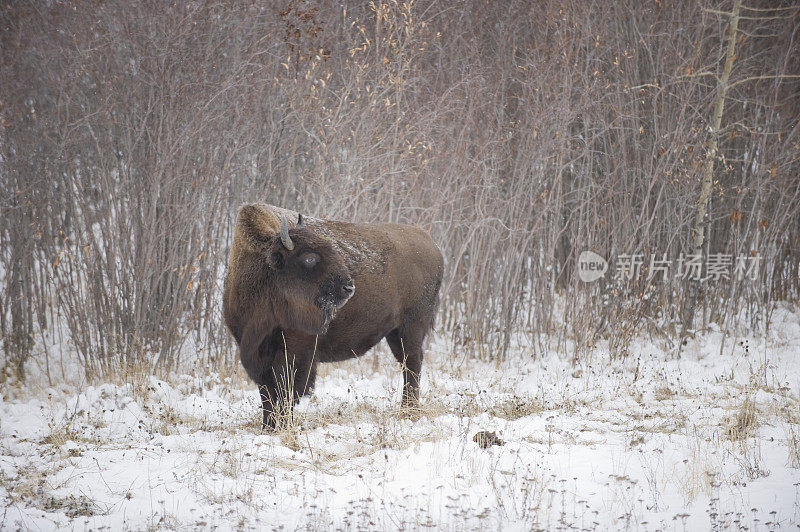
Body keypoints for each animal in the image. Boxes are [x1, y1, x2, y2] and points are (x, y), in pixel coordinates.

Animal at [222, 204, 444, 428]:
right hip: (394, 332)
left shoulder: (295, 351)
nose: (348, 287)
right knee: (406, 363)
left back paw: (409, 411)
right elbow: (267, 392)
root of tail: (432, 244)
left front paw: (283, 425)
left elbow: (286, 389)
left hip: (412, 326)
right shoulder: (256, 351)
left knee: (412, 363)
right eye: (309, 257)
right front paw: (269, 426)